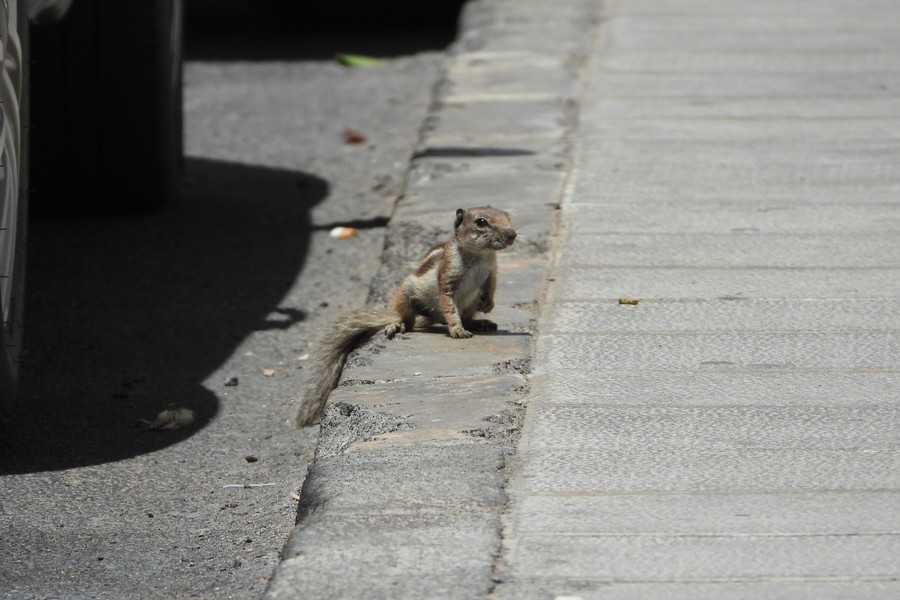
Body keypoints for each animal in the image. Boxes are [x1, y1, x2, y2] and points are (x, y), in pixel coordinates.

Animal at [295, 206, 517, 427]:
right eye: (481, 222)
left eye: (508, 217)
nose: (512, 234)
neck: (479, 255)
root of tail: (431, 318)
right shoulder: (447, 276)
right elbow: (449, 305)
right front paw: (457, 329)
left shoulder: (491, 271)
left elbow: (491, 287)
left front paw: (488, 305)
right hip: (405, 293)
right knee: (409, 320)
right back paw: (398, 324)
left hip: (468, 305)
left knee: (464, 316)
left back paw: (481, 322)